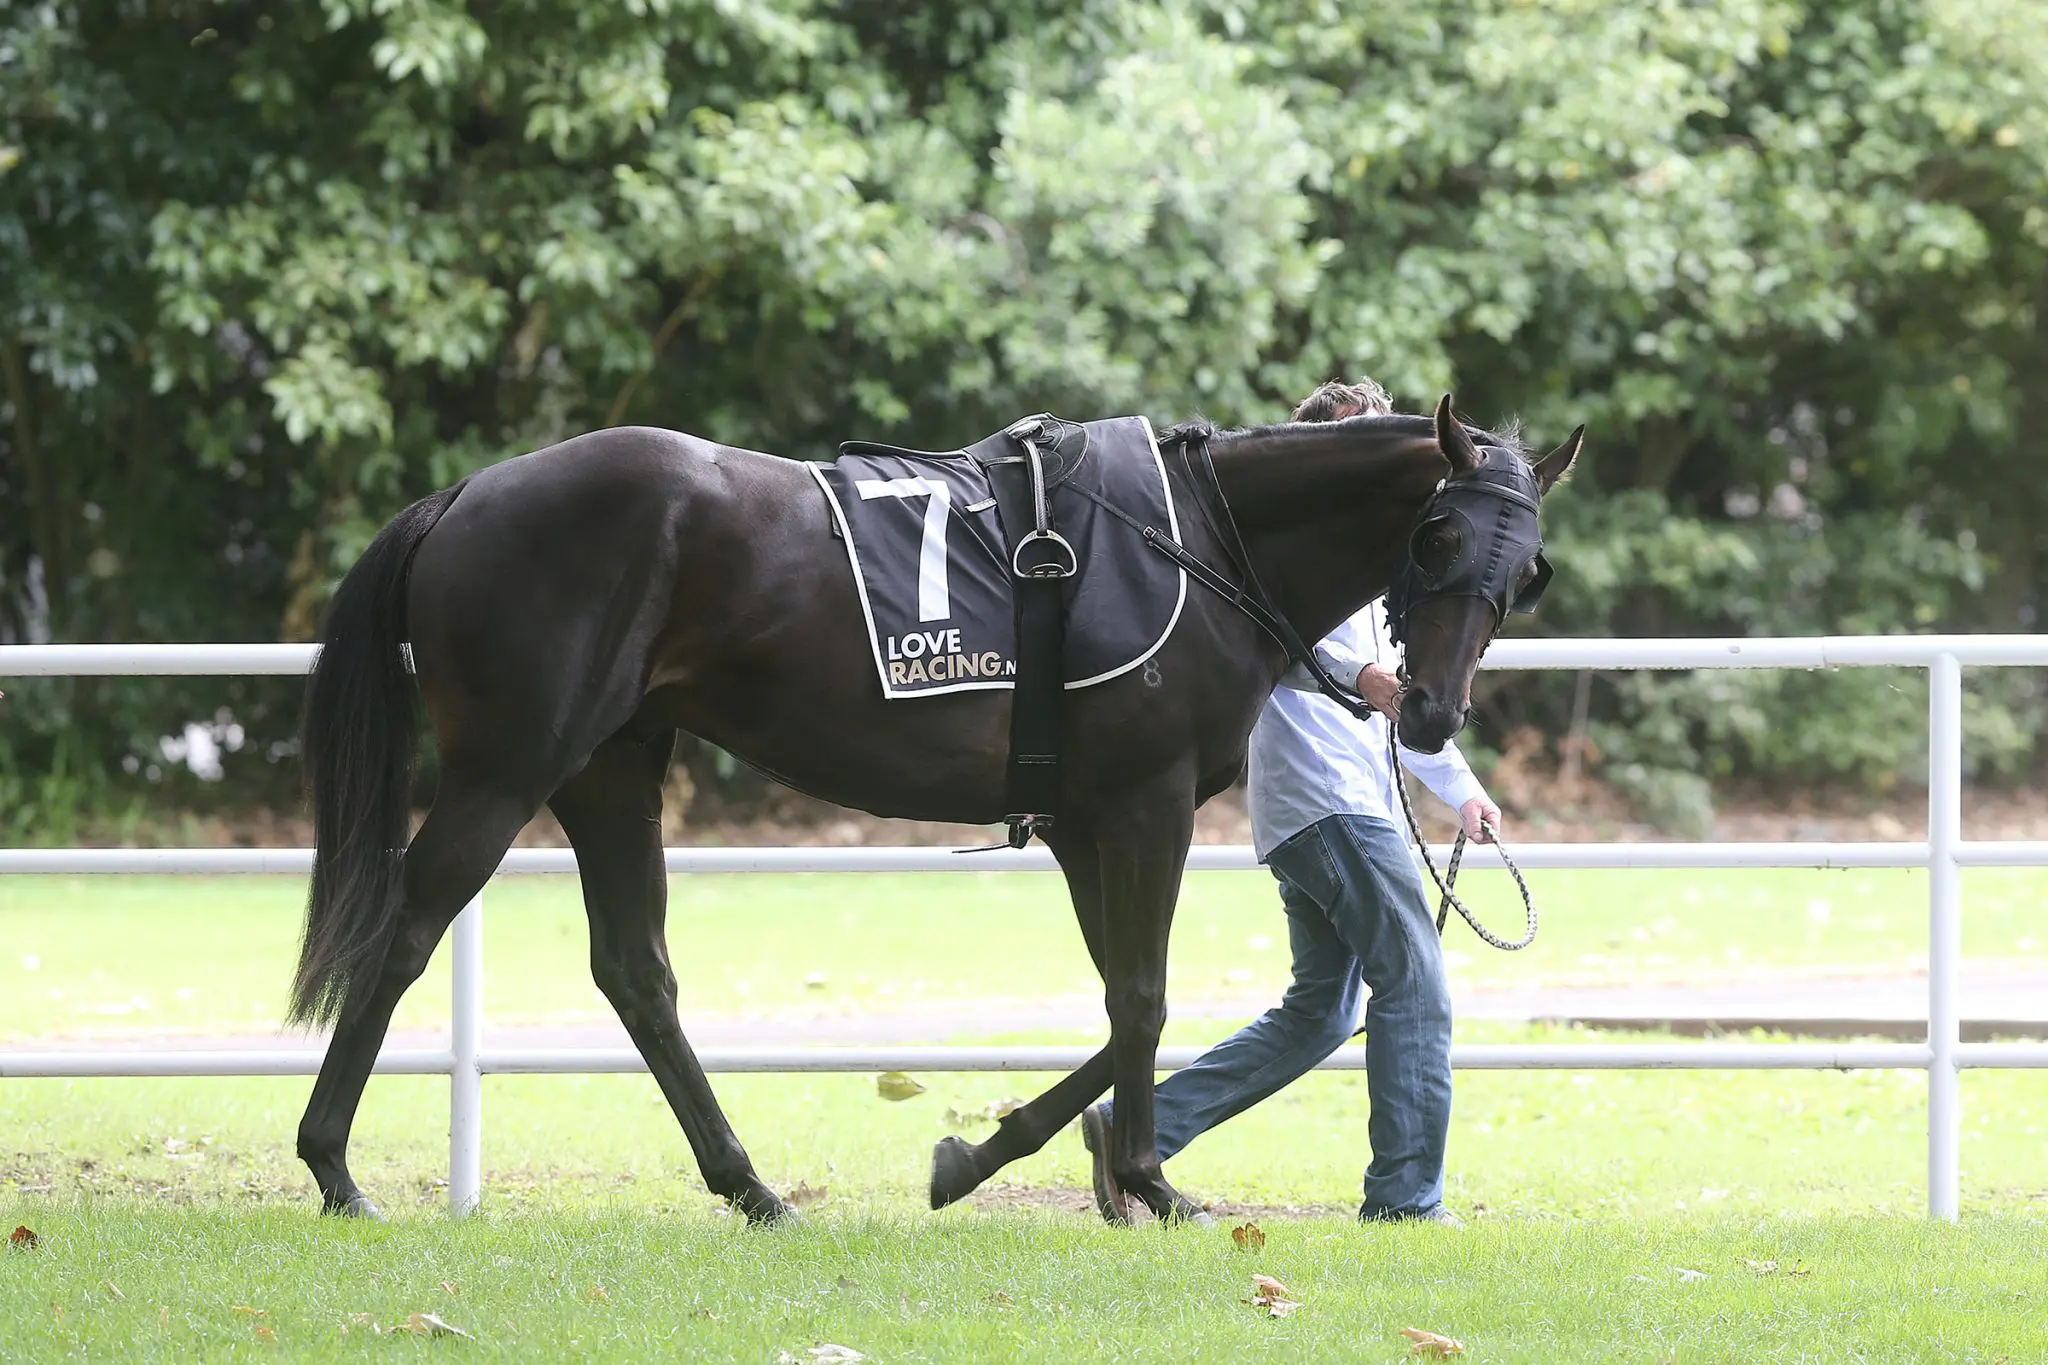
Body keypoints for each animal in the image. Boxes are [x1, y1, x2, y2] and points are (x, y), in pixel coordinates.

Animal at [288, 394, 1572, 1227]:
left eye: (1526, 569)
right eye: (1436, 532)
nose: (1429, 712)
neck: (1199, 537)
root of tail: (464, 495)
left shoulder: (1082, 822)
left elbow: (1121, 1003)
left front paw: (993, 1155)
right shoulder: (1141, 804)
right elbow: (1143, 999)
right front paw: (1147, 1179)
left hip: (611, 765)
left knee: (635, 972)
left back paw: (749, 1186)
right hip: (512, 766)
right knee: (407, 928)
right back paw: (333, 1167)